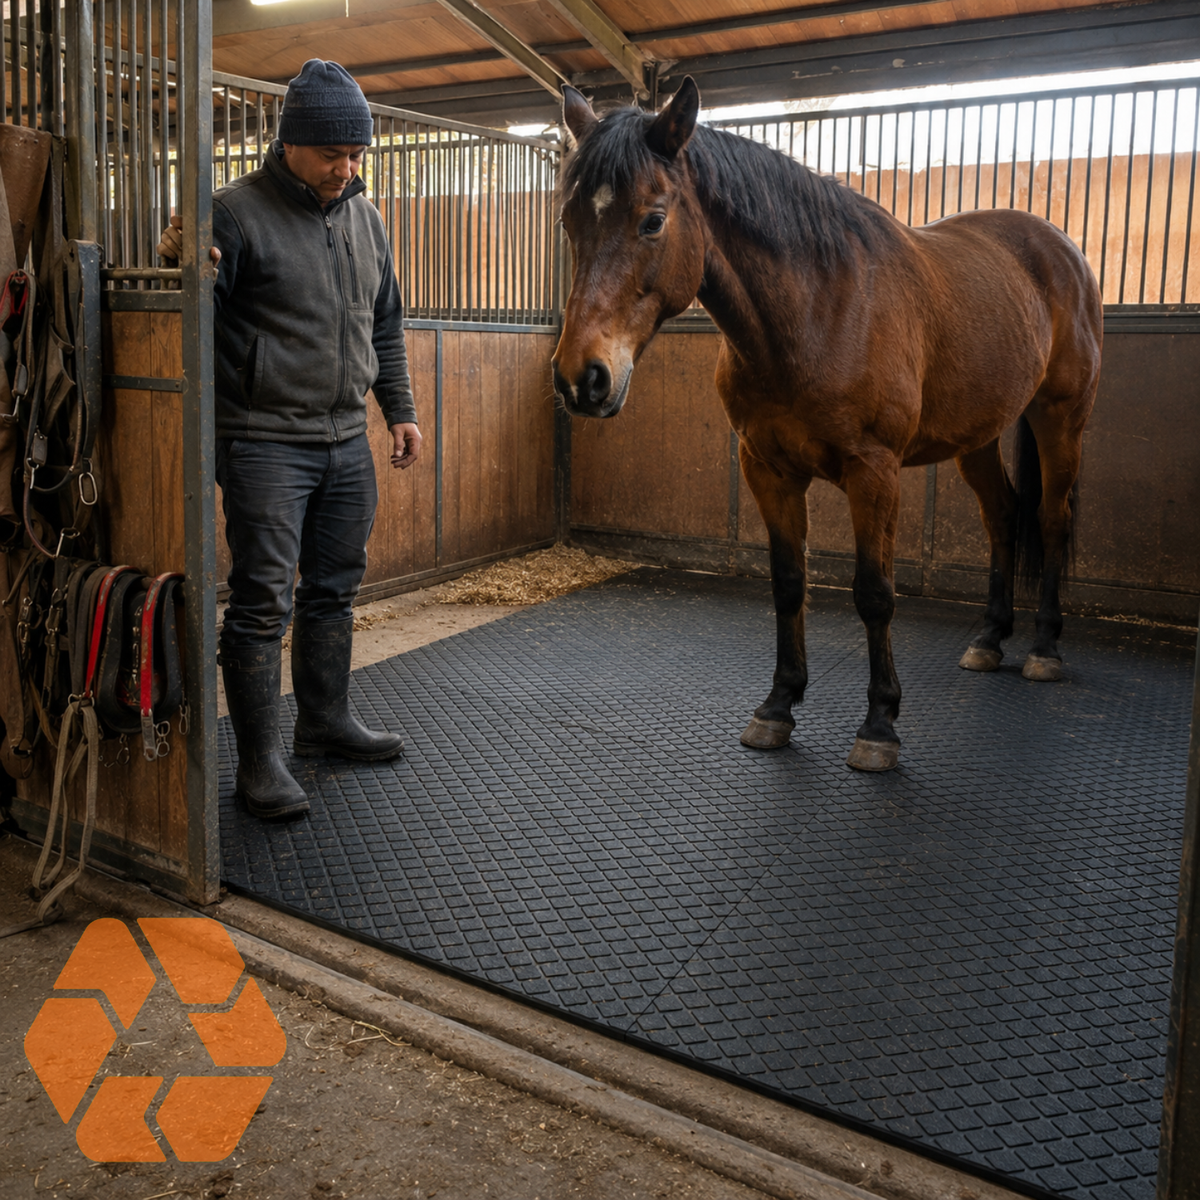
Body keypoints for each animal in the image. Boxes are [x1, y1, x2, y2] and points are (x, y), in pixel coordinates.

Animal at [552, 78, 1102, 773]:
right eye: (568, 222)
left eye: (653, 219)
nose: (582, 378)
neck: (818, 310)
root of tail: (1060, 248)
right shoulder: (767, 467)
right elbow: (789, 583)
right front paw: (778, 707)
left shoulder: (875, 472)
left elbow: (874, 592)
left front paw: (880, 725)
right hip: (975, 436)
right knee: (1003, 517)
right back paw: (990, 638)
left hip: (1061, 419)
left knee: (1052, 520)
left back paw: (1044, 649)